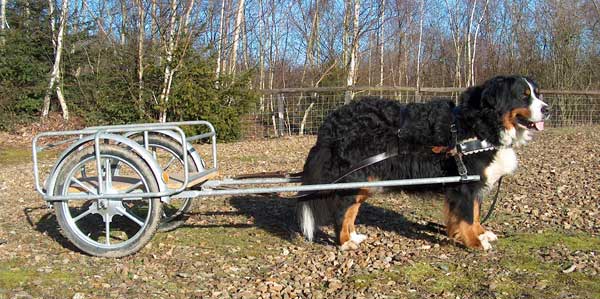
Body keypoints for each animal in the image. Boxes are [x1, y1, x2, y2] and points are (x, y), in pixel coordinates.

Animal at [296, 75, 548, 251]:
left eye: (537, 93)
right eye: (523, 95)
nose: (548, 108)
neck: (481, 124)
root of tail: (332, 120)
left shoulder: (474, 182)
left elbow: (475, 213)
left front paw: (481, 233)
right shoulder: (465, 184)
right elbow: (467, 215)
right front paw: (475, 242)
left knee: (351, 209)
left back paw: (354, 236)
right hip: (354, 176)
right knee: (342, 210)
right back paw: (345, 242)